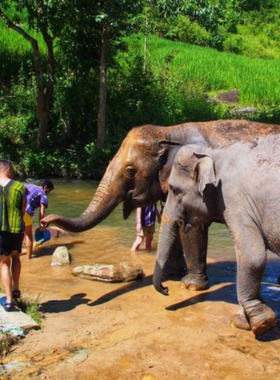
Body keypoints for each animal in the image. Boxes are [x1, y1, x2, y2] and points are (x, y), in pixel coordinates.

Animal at [42, 120, 280, 292]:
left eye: (130, 171)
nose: (45, 220)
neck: (169, 131)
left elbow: (191, 227)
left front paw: (189, 285)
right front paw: (171, 275)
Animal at [153, 136, 280, 336]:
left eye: (175, 190)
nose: (166, 289)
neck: (214, 152)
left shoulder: (235, 201)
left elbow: (253, 255)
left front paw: (257, 322)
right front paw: (247, 320)